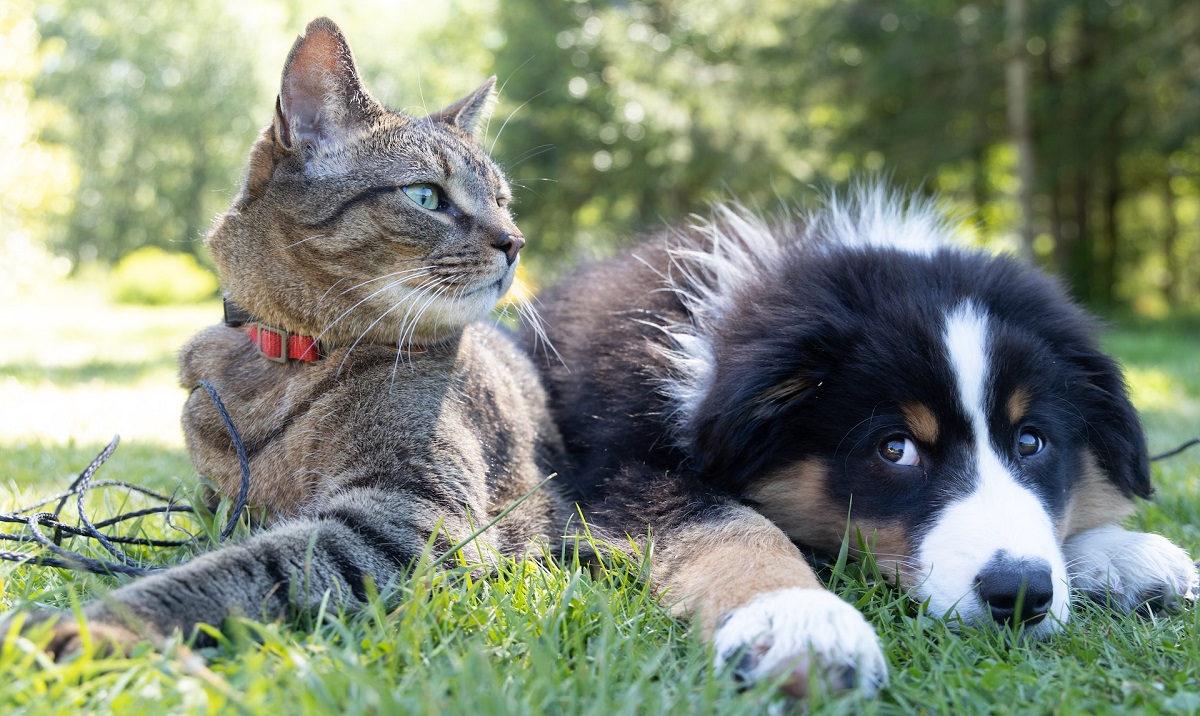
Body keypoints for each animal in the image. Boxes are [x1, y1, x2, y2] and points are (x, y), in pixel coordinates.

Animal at [2, 16, 564, 652]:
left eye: (502, 201)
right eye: (425, 196)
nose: (515, 241)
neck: (288, 359)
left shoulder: (414, 515)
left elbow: (241, 568)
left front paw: (102, 623)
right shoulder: (221, 502)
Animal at [528, 184, 1200, 690]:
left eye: (1031, 441)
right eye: (895, 449)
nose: (1019, 595)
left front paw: (1122, 554)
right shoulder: (618, 470)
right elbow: (729, 525)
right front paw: (798, 620)